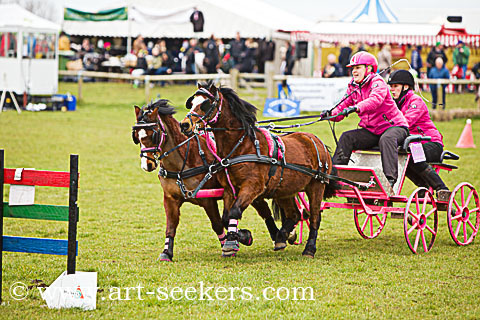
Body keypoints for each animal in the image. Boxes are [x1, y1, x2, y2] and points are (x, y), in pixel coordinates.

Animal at [132, 99, 282, 260]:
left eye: (153, 134)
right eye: (136, 136)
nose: (147, 164)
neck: (182, 164)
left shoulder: (208, 200)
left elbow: (218, 223)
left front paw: (236, 240)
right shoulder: (170, 199)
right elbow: (171, 226)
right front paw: (166, 252)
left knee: (264, 212)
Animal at [178, 82, 336, 258]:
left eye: (205, 104)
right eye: (192, 103)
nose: (184, 124)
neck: (241, 146)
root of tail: (316, 141)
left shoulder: (252, 186)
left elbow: (234, 212)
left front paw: (238, 239)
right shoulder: (229, 189)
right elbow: (226, 217)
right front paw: (240, 236)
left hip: (316, 185)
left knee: (315, 217)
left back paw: (309, 248)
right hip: (285, 189)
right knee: (294, 214)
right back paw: (281, 237)